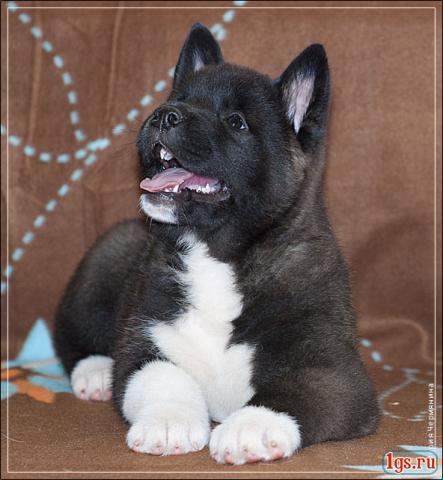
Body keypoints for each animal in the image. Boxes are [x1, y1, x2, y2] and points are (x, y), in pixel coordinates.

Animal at [55, 23, 379, 464]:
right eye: (176, 99)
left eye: (236, 122)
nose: (165, 114)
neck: (217, 254)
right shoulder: (144, 340)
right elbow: (160, 374)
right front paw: (169, 421)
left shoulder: (333, 369)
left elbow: (296, 392)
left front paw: (251, 427)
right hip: (102, 261)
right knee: (75, 336)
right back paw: (96, 372)